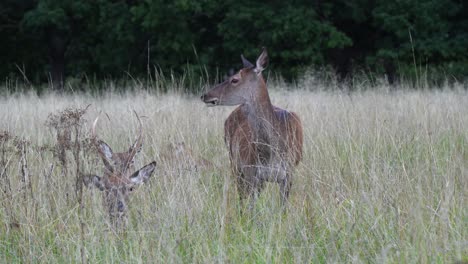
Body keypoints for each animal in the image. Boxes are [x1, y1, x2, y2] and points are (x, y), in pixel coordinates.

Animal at [200, 47, 304, 208]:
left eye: (235, 79)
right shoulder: (251, 172)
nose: (205, 95)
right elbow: (250, 208)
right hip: (234, 162)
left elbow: (283, 209)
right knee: (241, 198)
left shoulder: (289, 173)